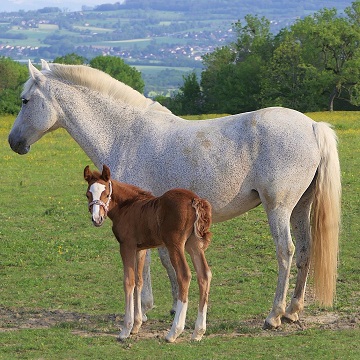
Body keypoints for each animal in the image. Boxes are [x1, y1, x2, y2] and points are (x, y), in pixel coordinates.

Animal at [7, 59, 340, 332]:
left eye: (25, 100)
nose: (13, 142)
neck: (124, 134)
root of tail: (312, 125)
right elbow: (166, 260)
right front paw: (171, 305)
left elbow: (146, 263)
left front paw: (141, 311)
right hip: (300, 207)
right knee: (306, 250)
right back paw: (293, 311)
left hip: (278, 208)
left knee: (286, 252)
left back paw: (274, 315)